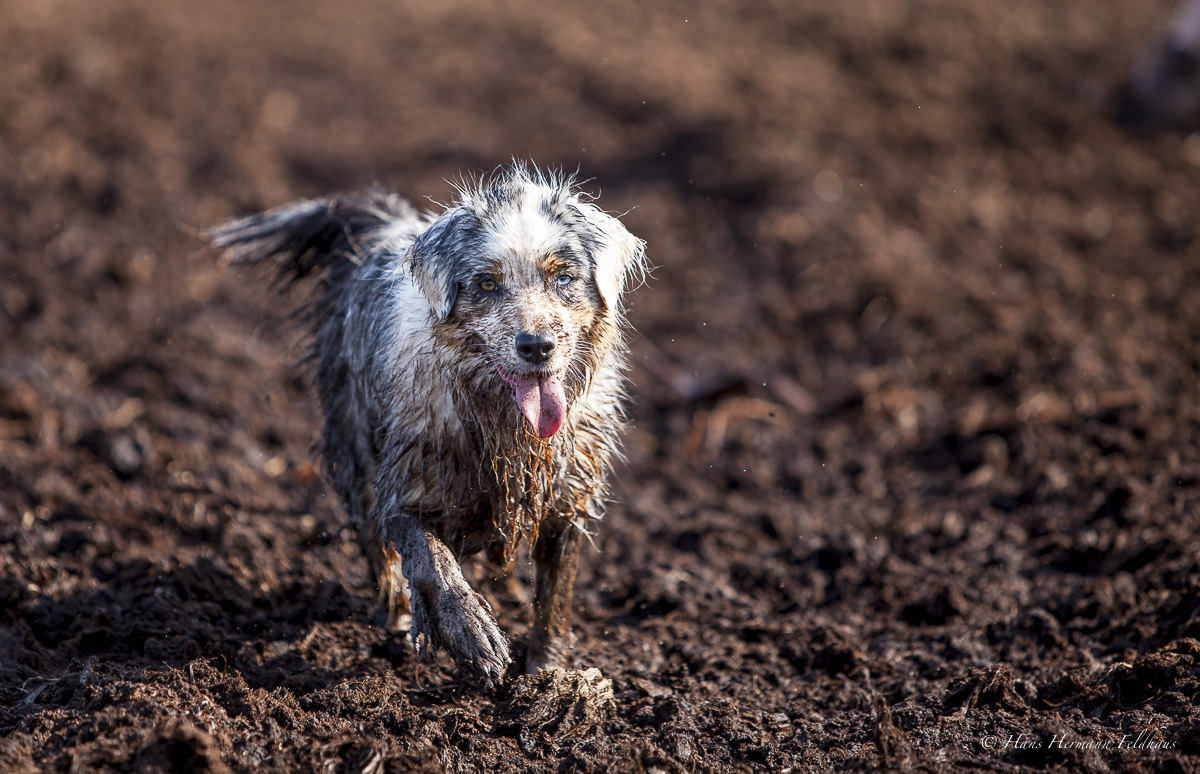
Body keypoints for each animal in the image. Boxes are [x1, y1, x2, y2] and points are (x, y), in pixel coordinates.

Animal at [211, 164, 652, 681]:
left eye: (563, 277)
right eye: (486, 284)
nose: (536, 346)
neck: (501, 419)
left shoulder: (567, 497)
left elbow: (555, 594)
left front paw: (546, 673)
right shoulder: (406, 481)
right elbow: (430, 560)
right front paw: (472, 634)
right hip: (355, 440)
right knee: (376, 542)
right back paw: (395, 614)